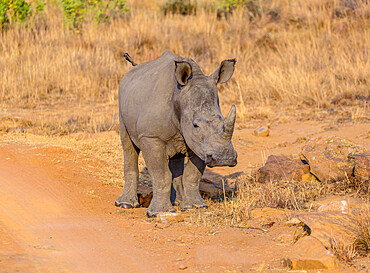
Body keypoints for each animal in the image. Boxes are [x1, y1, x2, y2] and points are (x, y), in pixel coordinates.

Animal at [114, 50, 238, 217]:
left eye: (222, 119)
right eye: (195, 125)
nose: (224, 159)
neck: (179, 97)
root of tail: (131, 70)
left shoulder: (200, 145)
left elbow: (192, 175)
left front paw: (195, 207)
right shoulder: (151, 137)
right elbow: (161, 175)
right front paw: (158, 213)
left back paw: (178, 202)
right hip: (122, 103)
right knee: (128, 145)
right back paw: (125, 204)